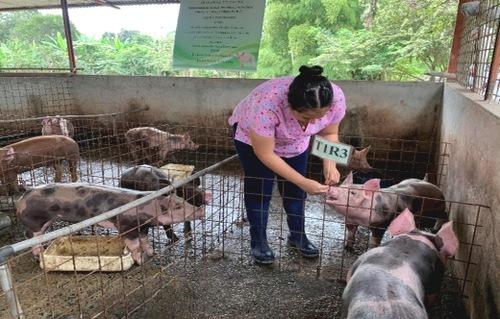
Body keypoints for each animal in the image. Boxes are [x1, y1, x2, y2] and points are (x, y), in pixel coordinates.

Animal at [17, 182, 205, 264]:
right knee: (31, 237)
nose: (201, 209)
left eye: (182, 200)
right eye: (178, 206)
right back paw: (39, 256)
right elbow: (134, 245)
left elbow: (145, 241)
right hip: (34, 221)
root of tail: (24, 195)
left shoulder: (142, 227)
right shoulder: (126, 226)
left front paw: (152, 254)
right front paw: (140, 261)